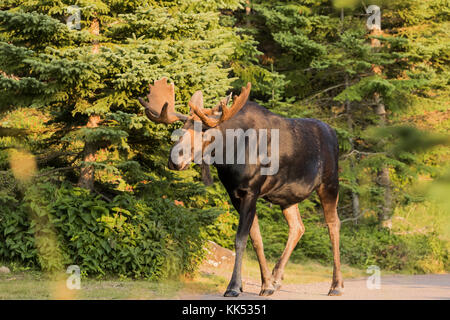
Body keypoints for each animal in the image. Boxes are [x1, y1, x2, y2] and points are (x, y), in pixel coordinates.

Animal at [139, 77, 342, 298]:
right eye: (181, 129)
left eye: (205, 132)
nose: (174, 160)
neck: (229, 155)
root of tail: (334, 134)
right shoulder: (234, 194)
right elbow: (256, 239)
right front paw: (266, 284)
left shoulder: (251, 191)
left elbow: (240, 239)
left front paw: (234, 286)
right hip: (286, 196)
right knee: (297, 226)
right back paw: (277, 278)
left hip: (330, 184)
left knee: (333, 225)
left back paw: (336, 285)